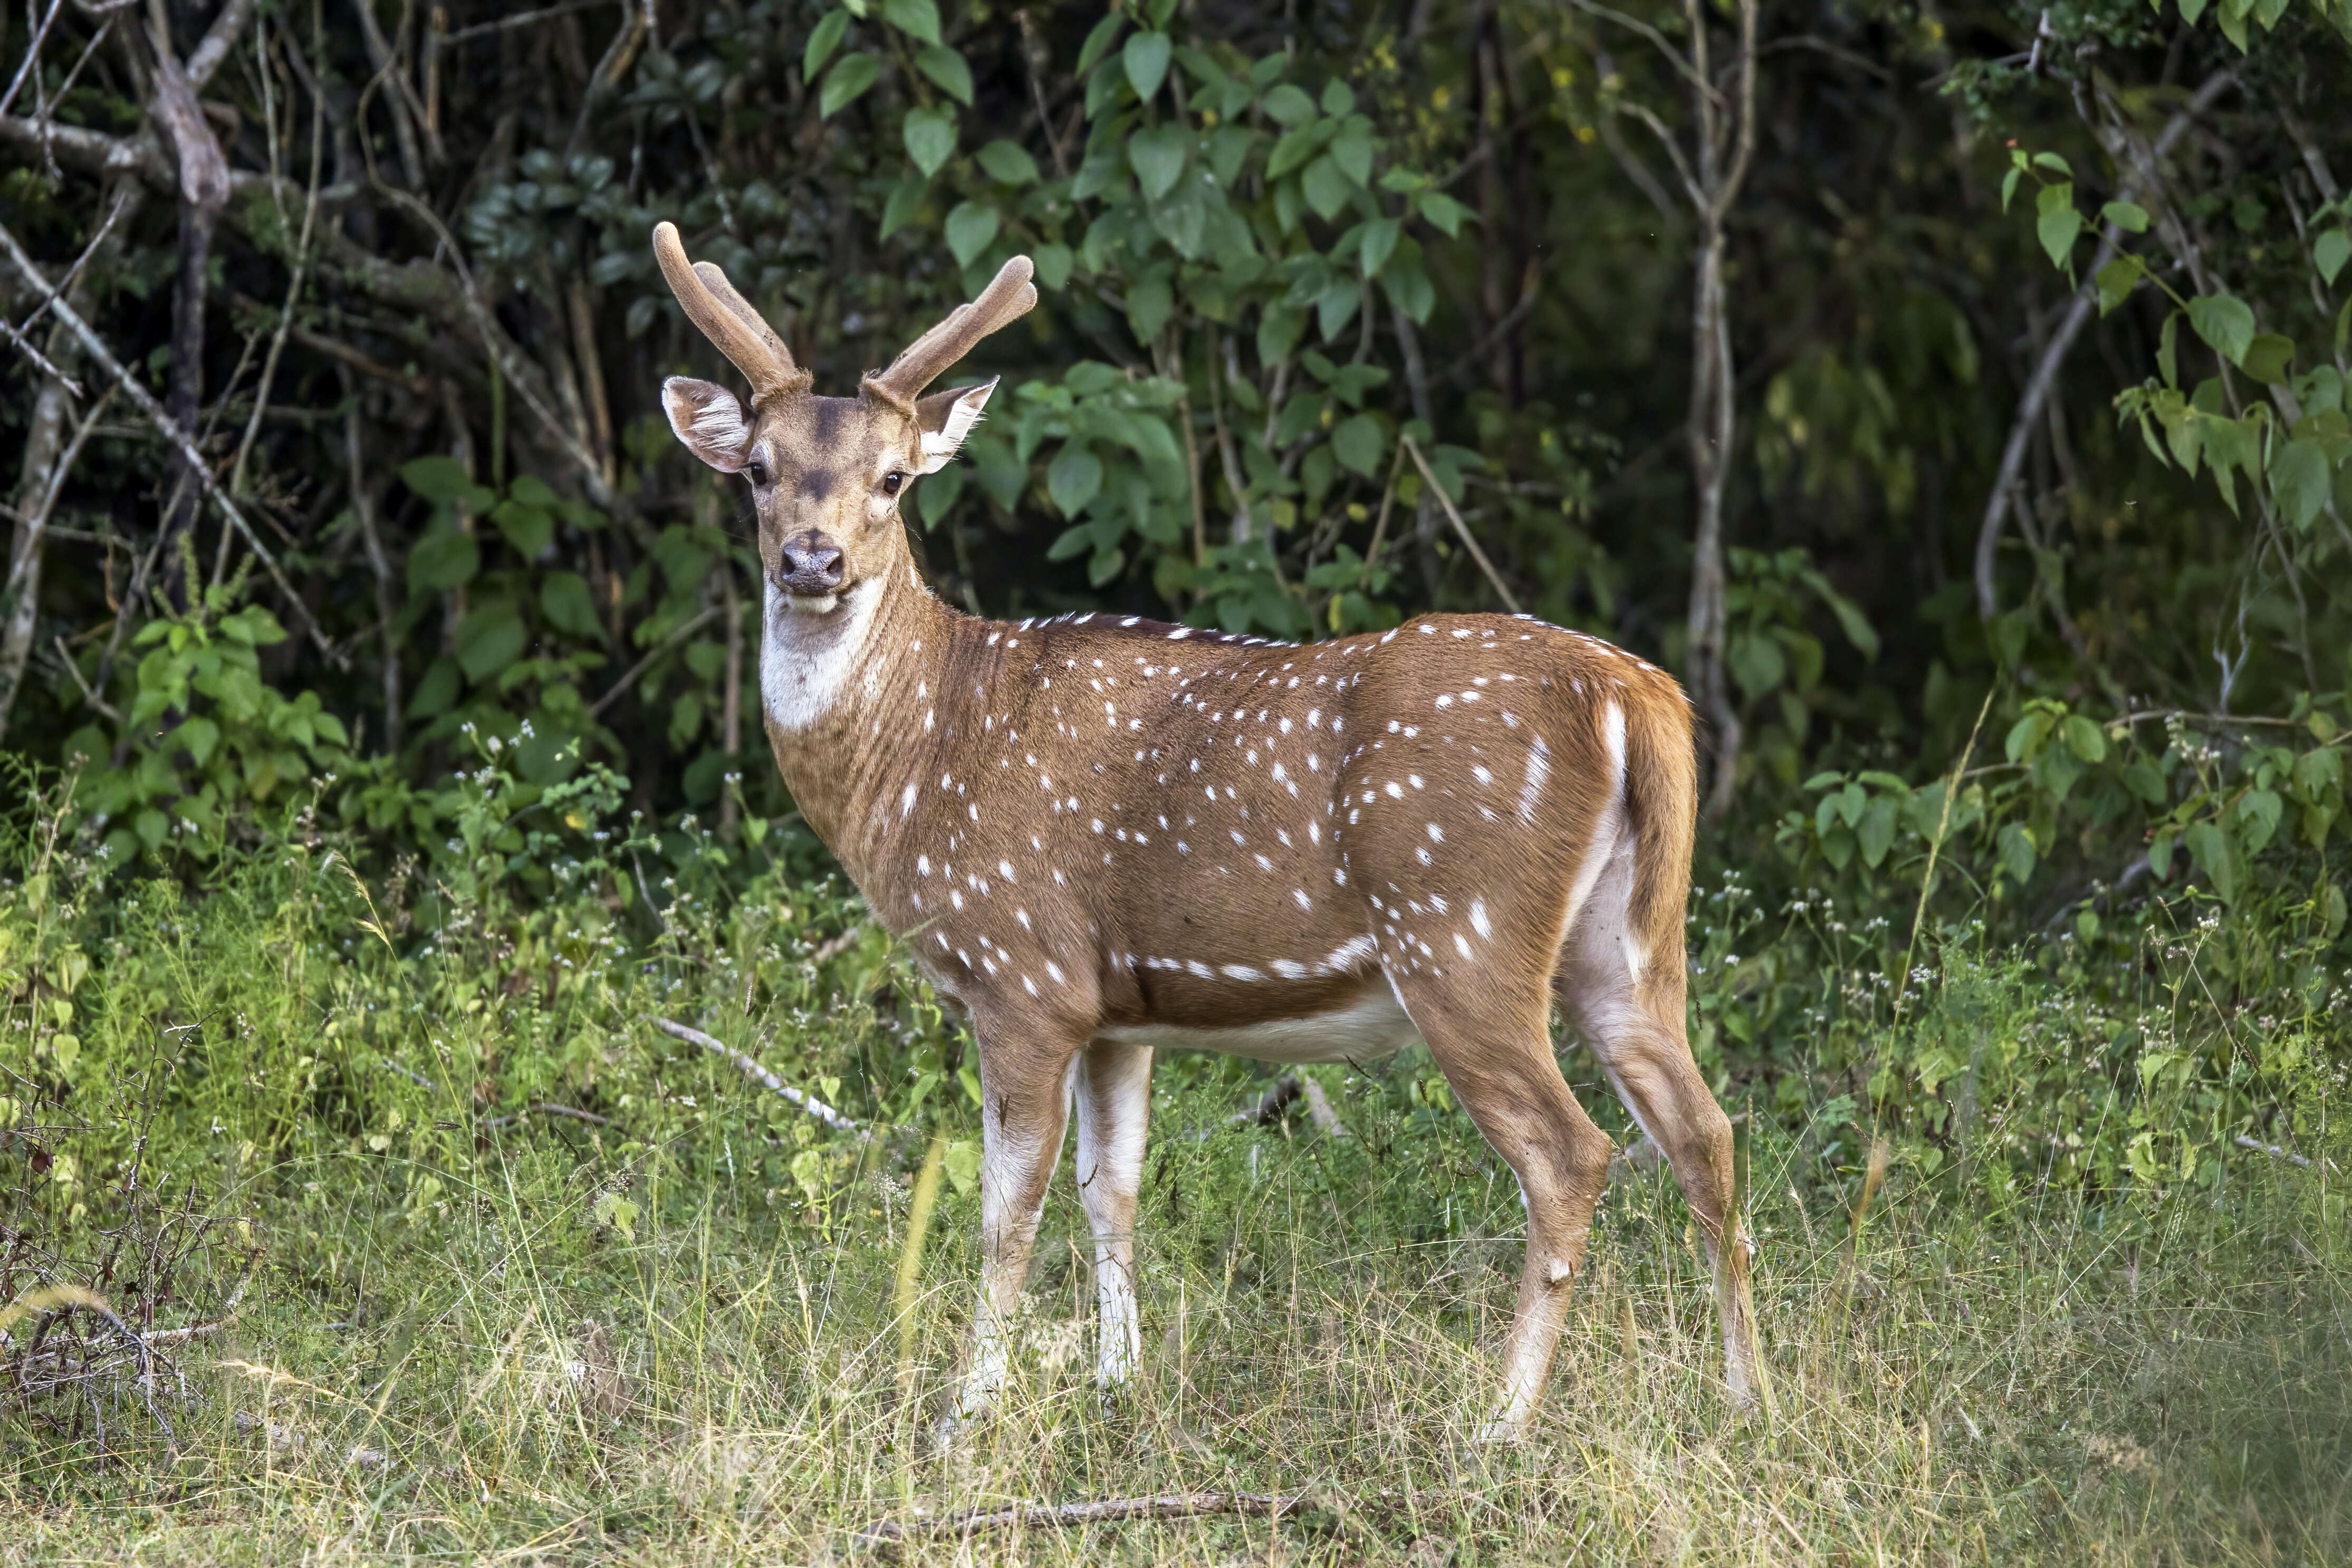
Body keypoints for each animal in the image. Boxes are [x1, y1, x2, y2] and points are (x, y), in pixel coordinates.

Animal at [644, 220, 1769, 1438]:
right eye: (757, 470)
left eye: (893, 480)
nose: (811, 559)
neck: (919, 759)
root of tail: (1637, 696)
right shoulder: (1115, 1010)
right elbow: (1113, 1188)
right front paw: (1116, 1380)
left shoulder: (1022, 973)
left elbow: (1005, 1207)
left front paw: (966, 1414)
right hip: (1629, 940)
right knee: (1706, 1130)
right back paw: (1748, 1397)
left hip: (1459, 926)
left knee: (1572, 1152)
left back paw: (1500, 1421)